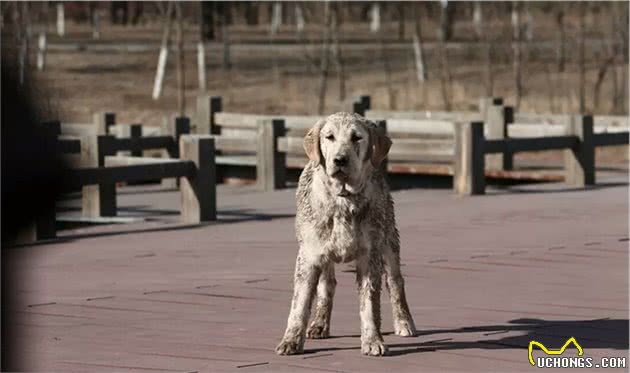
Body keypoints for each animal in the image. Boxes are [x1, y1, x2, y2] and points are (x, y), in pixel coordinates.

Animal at [278, 112, 420, 356]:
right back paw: (320, 324)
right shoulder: (309, 255)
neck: (343, 199)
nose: (340, 160)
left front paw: (373, 339)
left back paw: (403, 322)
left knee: (395, 281)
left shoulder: (369, 255)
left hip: (389, 238)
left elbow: (369, 304)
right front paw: (291, 340)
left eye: (356, 137)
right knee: (327, 285)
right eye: (329, 137)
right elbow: (300, 303)